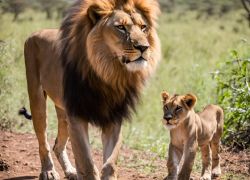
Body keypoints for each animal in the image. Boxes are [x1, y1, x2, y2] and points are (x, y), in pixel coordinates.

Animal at [22, 0, 161, 179]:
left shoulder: (113, 119)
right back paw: (49, 171)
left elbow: (110, 164)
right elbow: (87, 162)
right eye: (121, 27)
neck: (107, 73)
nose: (144, 47)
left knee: (58, 144)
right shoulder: (77, 116)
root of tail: (36, 32)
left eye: (143, 27)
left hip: (63, 112)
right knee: (43, 140)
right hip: (37, 97)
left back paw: (70, 171)